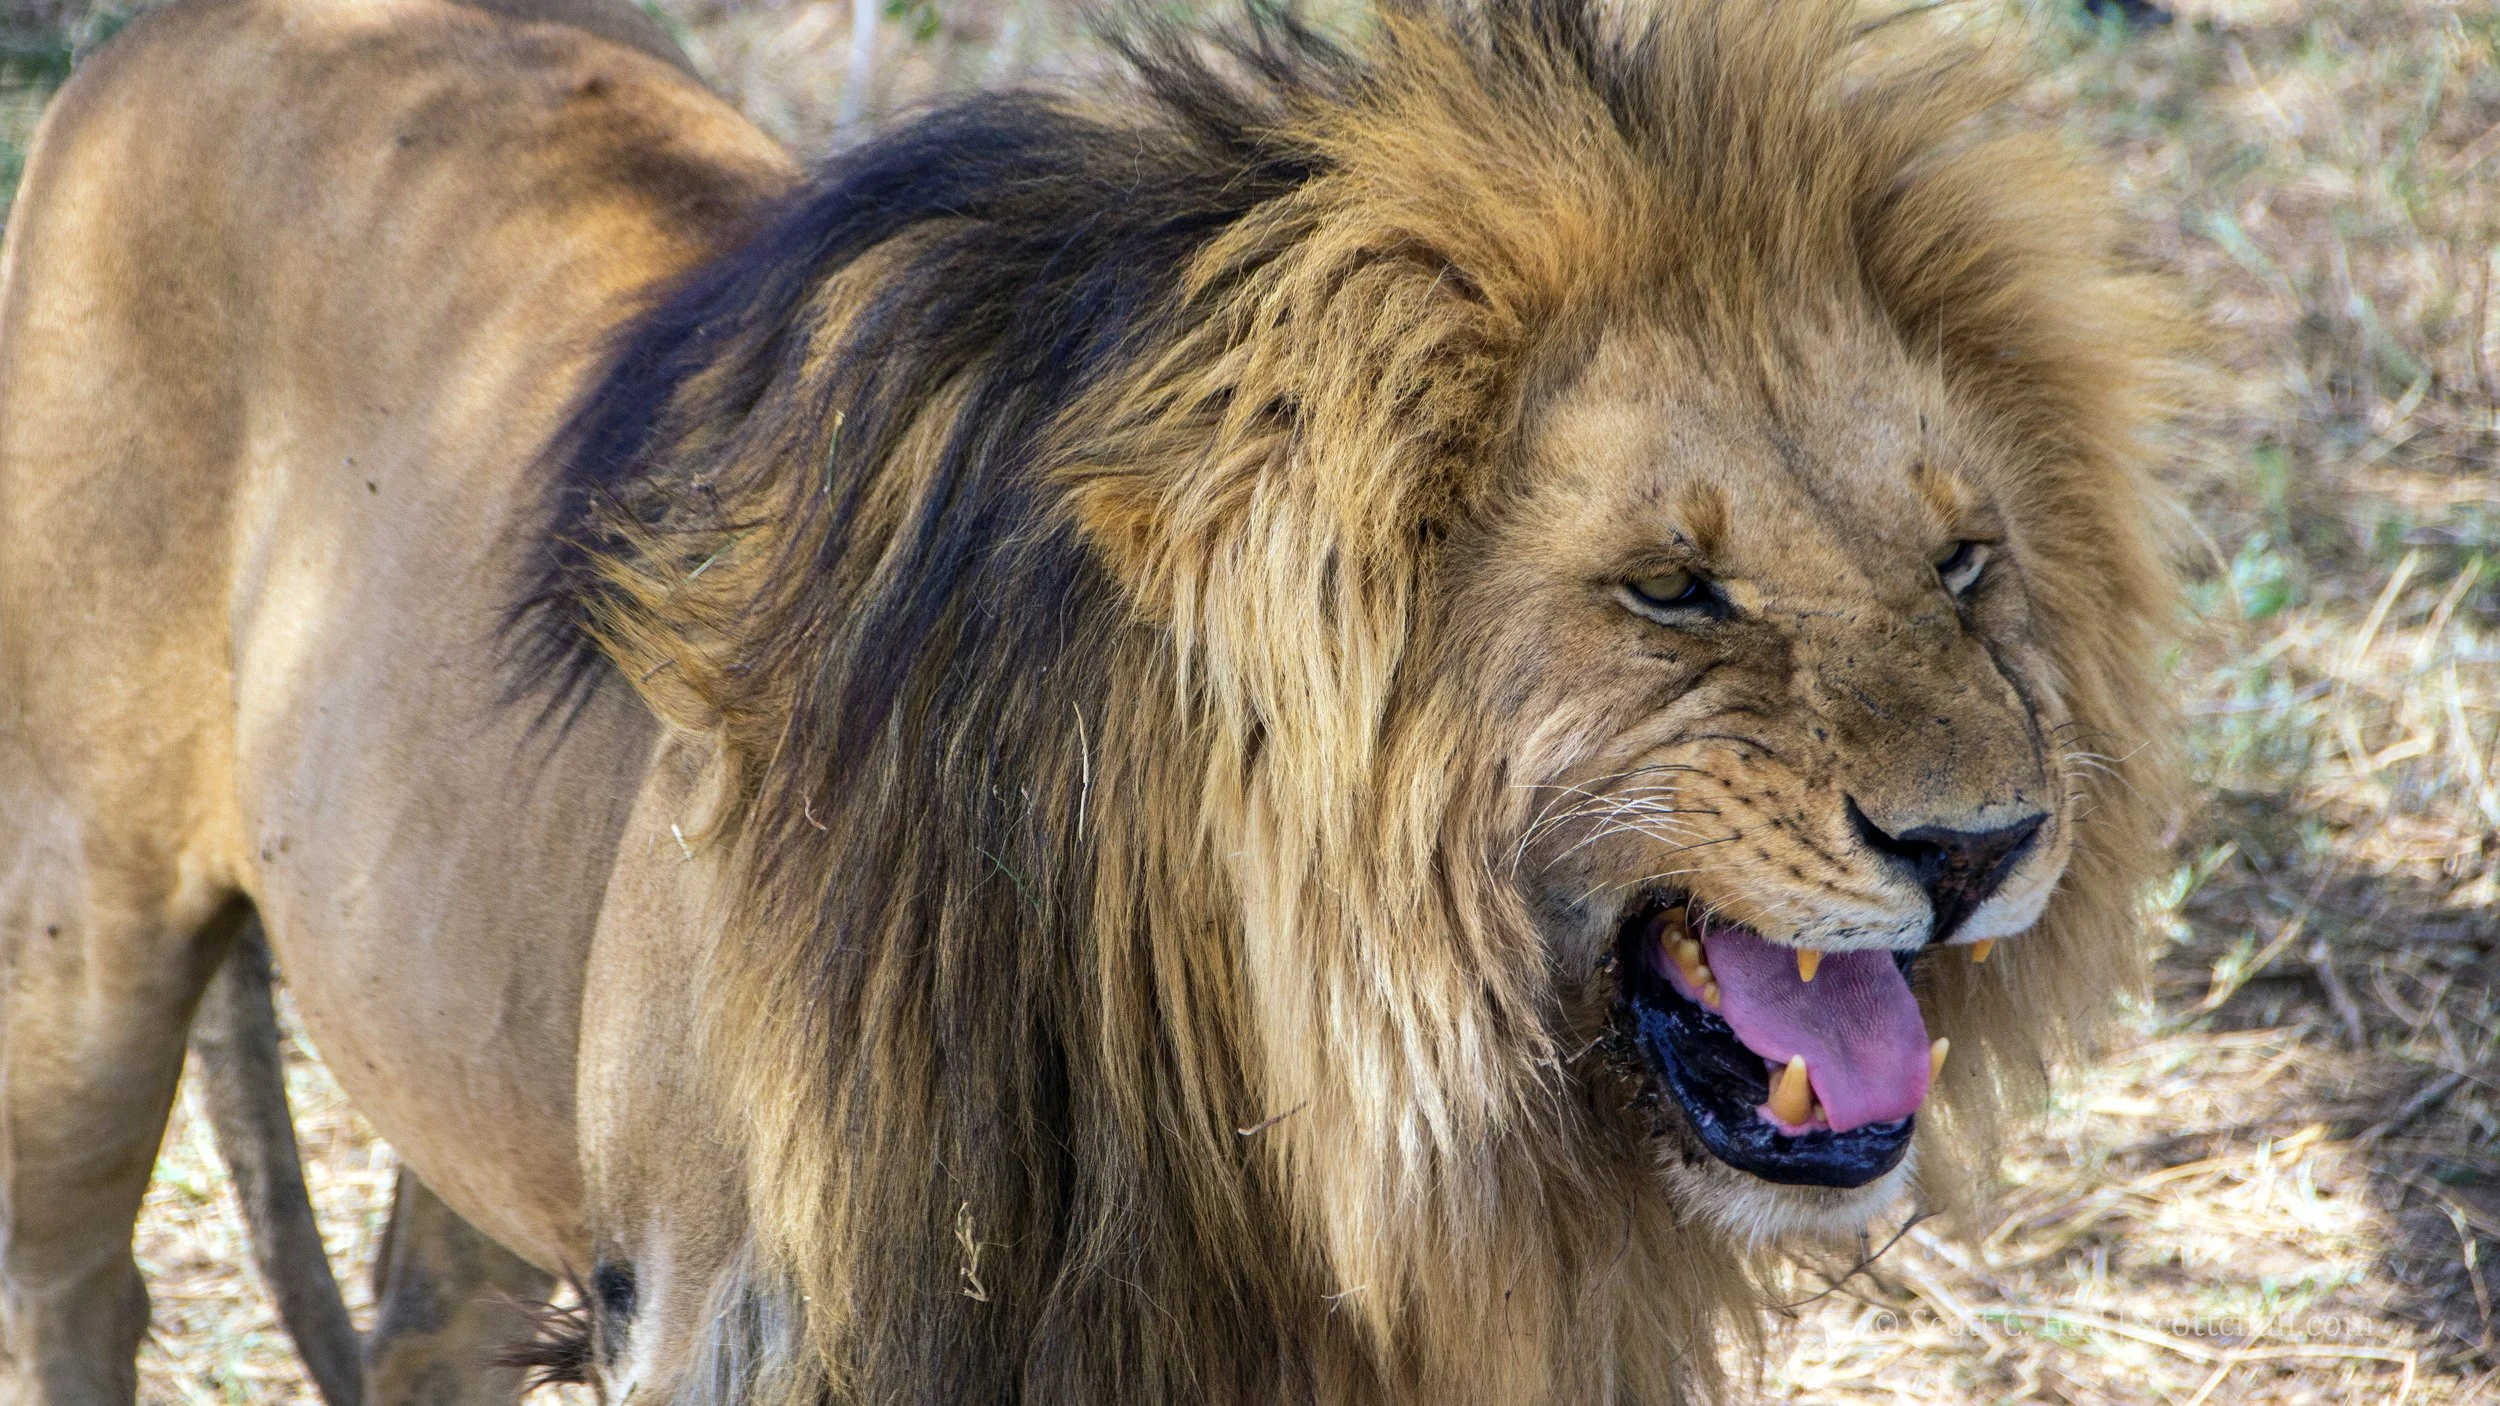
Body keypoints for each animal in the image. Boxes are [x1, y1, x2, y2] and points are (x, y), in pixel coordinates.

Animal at [0, 0, 2182, 1398]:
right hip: (81, 948)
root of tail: (182, 24)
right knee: (76, 1292)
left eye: (1963, 560)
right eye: (1667, 589)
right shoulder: (742, 1327)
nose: (1982, 846)